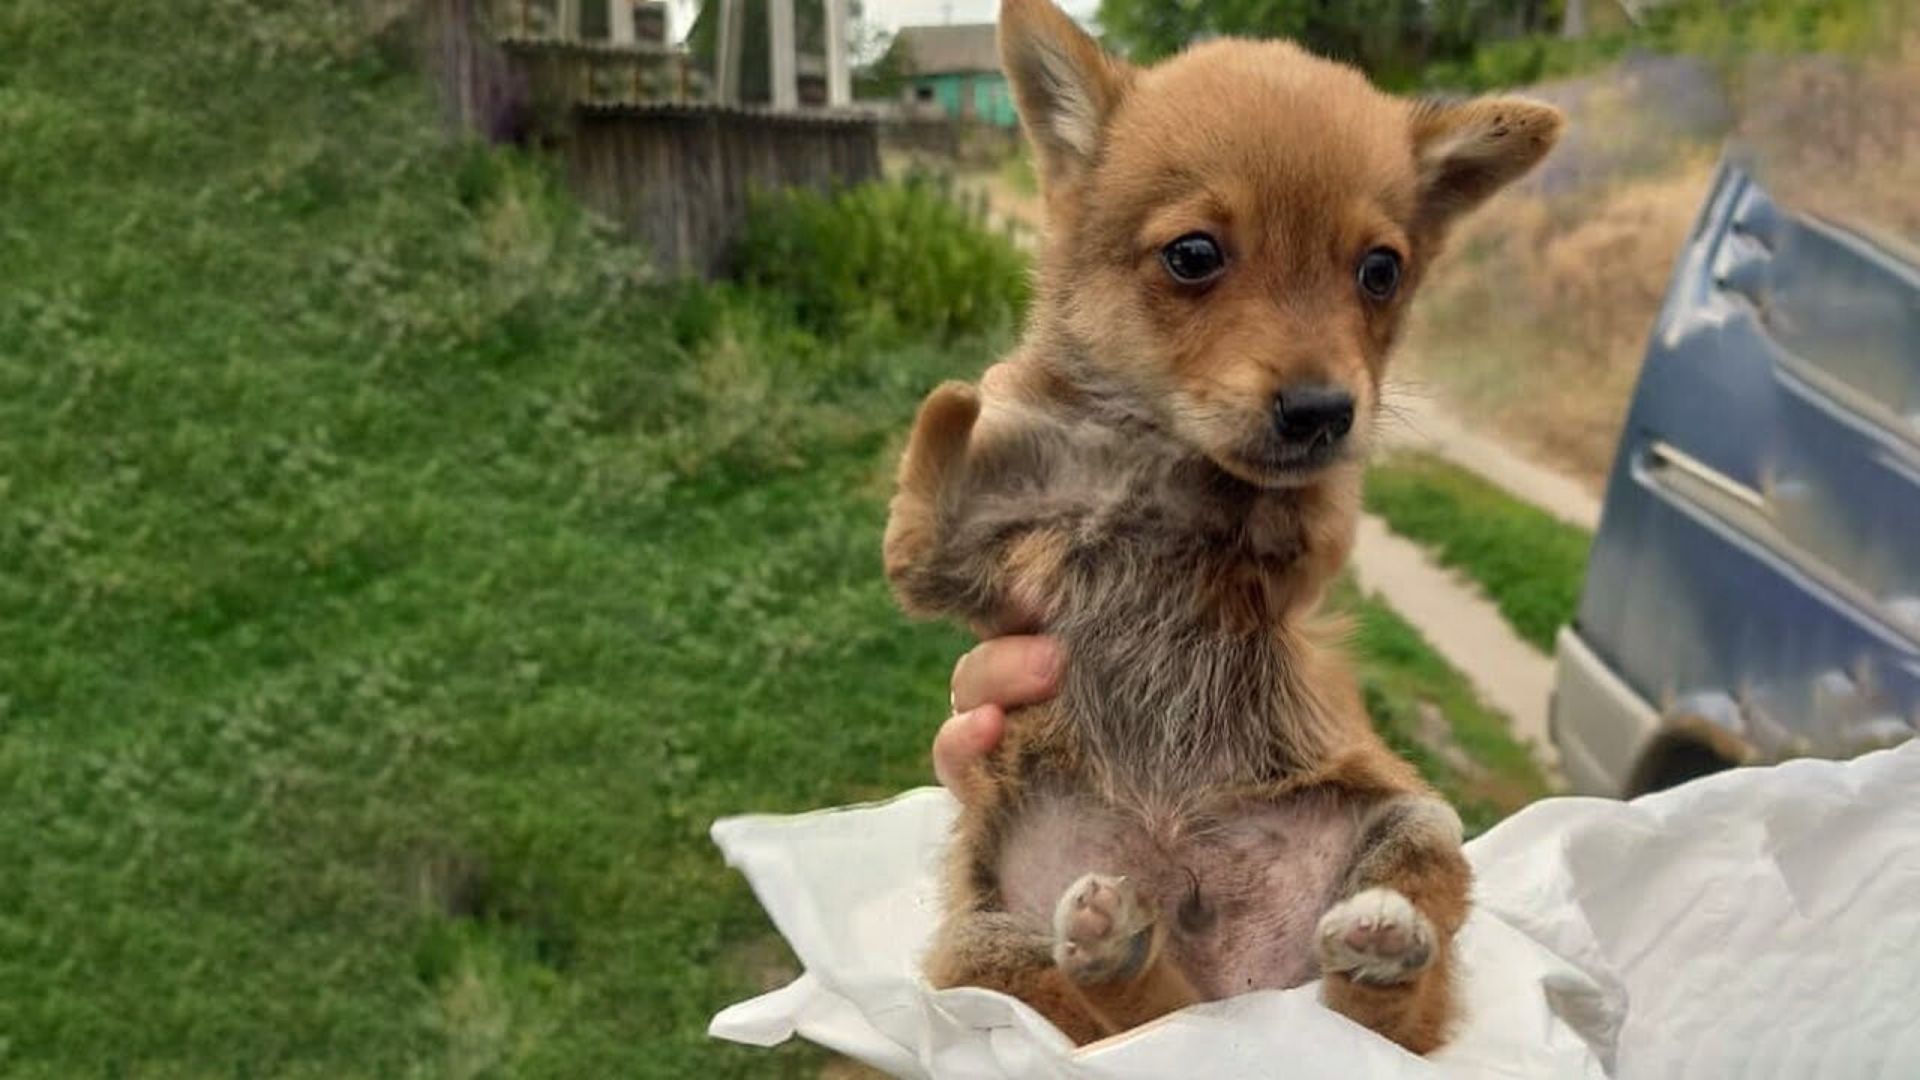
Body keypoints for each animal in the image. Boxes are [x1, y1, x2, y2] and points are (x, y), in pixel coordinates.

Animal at [883, 0, 1559, 1045]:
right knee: (1121, 1015)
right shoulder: (950, 567)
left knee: (1383, 1014)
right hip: (985, 950)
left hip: (1416, 825)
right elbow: (935, 491)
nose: (1323, 411)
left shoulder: (1299, 545)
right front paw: (972, 401)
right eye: (1194, 256)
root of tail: (1230, 984)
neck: (1150, 462)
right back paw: (1123, 951)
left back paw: (1372, 956)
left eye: (1380, 271)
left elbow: (1274, 501)